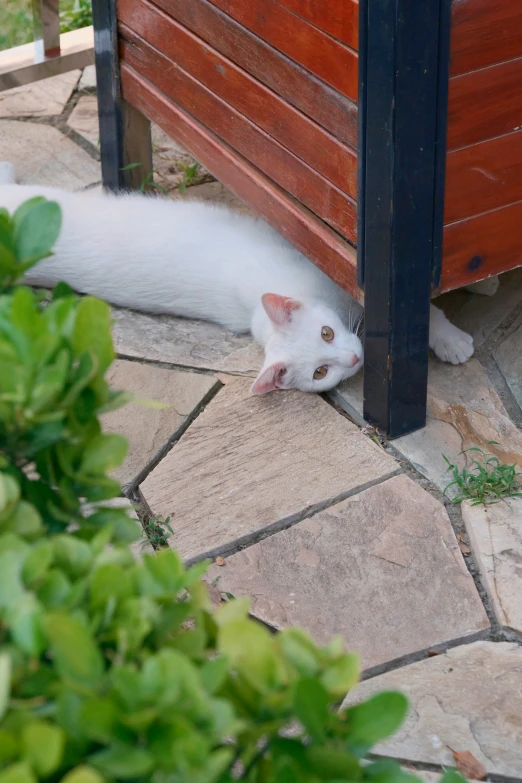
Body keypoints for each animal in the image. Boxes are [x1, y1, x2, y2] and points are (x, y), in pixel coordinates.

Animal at [0, 168, 476, 396]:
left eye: (326, 332)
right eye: (321, 372)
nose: (355, 358)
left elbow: (425, 308)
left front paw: (449, 337)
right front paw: (448, 339)